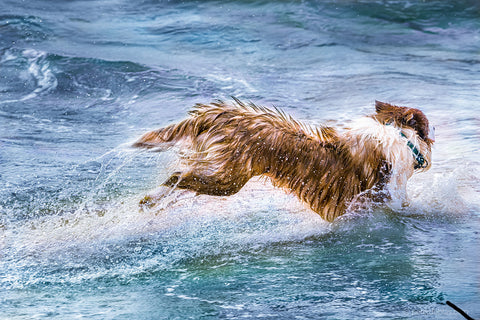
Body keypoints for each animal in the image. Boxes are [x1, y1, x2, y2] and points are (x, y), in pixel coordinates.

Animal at [132, 99, 436, 221]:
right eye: (427, 123)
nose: (437, 128)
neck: (399, 134)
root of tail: (221, 115)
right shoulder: (382, 197)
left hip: (217, 171)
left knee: (180, 181)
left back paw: (150, 203)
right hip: (228, 179)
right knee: (177, 177)